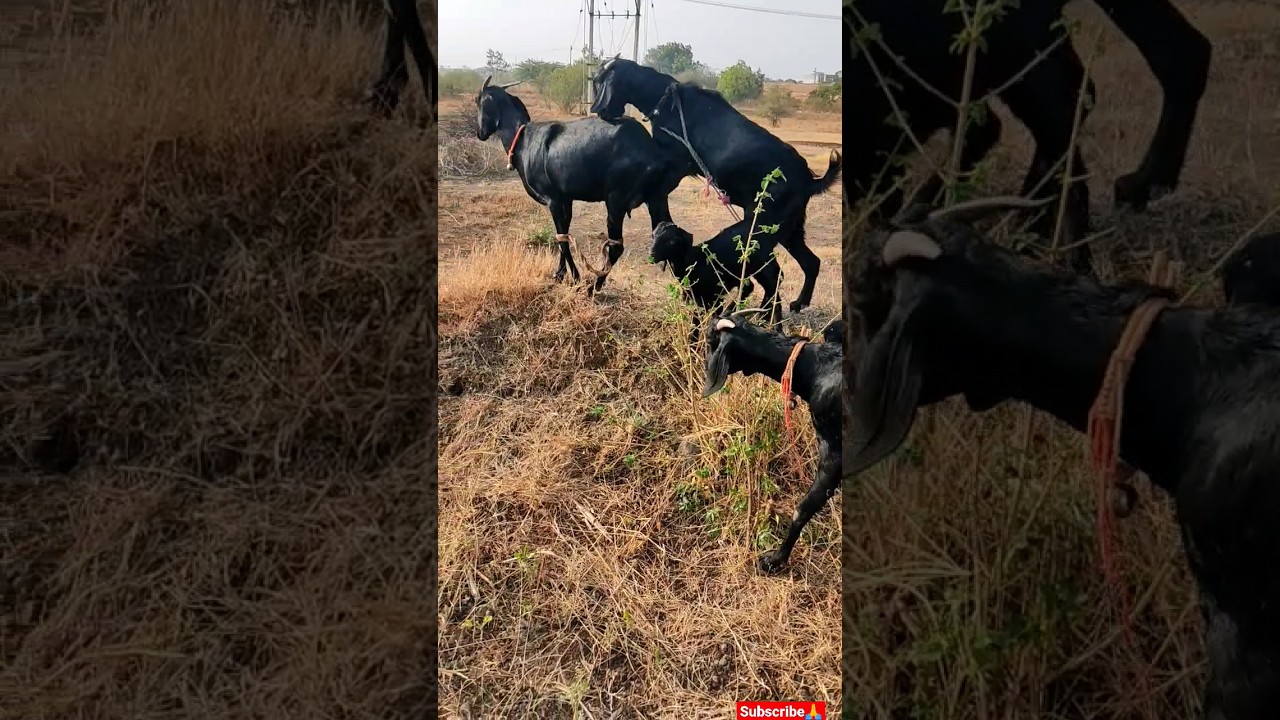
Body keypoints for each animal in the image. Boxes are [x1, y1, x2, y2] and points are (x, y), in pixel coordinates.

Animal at [476, 77, 687, 292]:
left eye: (479, 101)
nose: (480, 132)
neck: (524, 139)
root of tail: (651, 149)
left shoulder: (552, 199)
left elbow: (562, 237)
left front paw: (575, 277)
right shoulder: (565, 199)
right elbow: (564, 234)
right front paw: (560, 273)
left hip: (616, 200)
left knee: (616, 246)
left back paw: (594, 285)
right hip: (656, 198)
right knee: (671, 235)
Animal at [590, 57, 842, 313]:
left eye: (601, 82)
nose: (599, 111)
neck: (665, 99)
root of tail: (809, 180)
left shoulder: (678, 160)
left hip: (765, 225)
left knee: (776, 273)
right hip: (789, 230)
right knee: (810, 263)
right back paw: (796, 303)